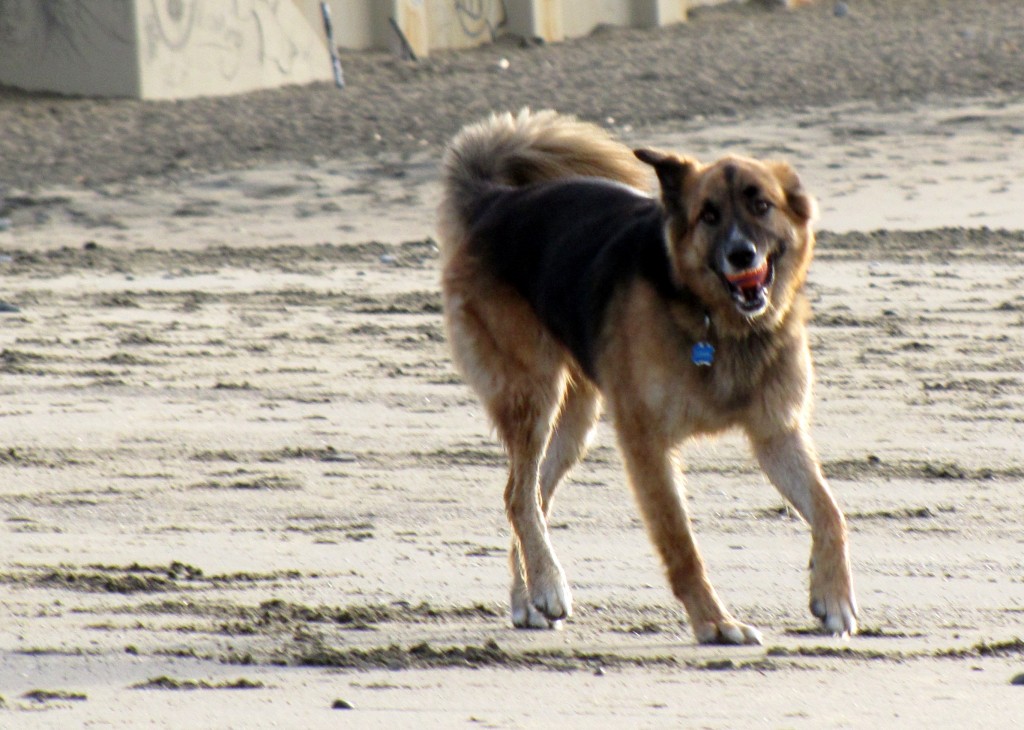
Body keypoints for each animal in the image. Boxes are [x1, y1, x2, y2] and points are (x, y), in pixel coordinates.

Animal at [438, 108, 856, 642]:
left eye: (761, 205)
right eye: (708, 216)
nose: (741, 255)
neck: (714, 322)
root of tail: (495, 199)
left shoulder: (777, 433)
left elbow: (829, 511)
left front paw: (833, 596)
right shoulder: (646, 444)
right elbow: (681, 542)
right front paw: (715, 623)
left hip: (576, 421)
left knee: (530, 496)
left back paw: (528, 598)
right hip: (533, 394)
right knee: (519, 496)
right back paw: (548, 585)